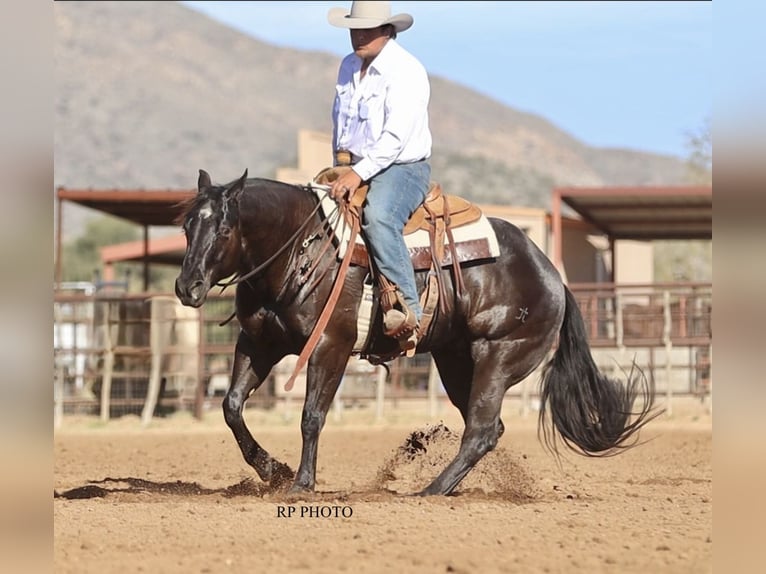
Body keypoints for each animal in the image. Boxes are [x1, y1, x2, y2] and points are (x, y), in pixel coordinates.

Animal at [174, 168, 658, 496]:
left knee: (481, 430)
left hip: (499, 356)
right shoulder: (258, 343)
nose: (187, 286)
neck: (302, 246)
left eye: (223, 228)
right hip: (456, 361)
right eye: (186, 226)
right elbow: (231, 406)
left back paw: (430, 492)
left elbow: (312, 416)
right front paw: (271, 469)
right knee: (489, 428)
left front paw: (302, 483)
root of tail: (553, 276)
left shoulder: (331, 346)